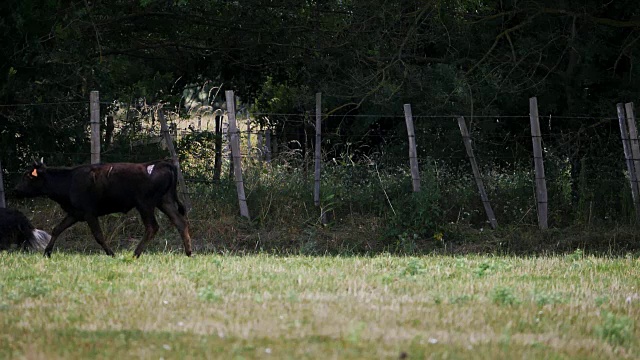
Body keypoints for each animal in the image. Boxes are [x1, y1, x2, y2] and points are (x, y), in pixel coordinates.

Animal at [14, 159, 190, 258]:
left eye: (27, 176)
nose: (15, 190)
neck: (68, 182)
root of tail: (162, 163)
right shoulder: (75, 213)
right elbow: (57, 229)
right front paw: (47, 252)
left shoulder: (89, 213)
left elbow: (98, 235)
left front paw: (111, 253)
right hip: (165, 201)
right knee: (180, 222)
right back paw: (188, 252)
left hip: (145, 204)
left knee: (152, 227)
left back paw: (136, 253)